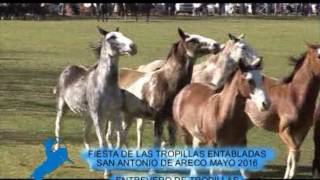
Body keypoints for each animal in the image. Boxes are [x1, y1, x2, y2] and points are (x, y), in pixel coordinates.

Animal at [52, 26, 138, 179]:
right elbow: (103, 142)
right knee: (58, 128)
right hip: (62, 109)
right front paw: (107, 172)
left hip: (87, 116)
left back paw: (92, 165)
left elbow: (121, 138)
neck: (104, 85)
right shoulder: (98, 116)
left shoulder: (115, 114)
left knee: (85, 135)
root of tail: (68, 68)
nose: (133, 47)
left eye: (122, 34)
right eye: (112, 37)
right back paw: (58, 152)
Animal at [242, 44, 320, 179]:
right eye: (319, 56)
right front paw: (291, 175)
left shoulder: (302, 131)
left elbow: (291, 155)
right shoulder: (284, 131)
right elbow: (296, 153)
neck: (295, 96)